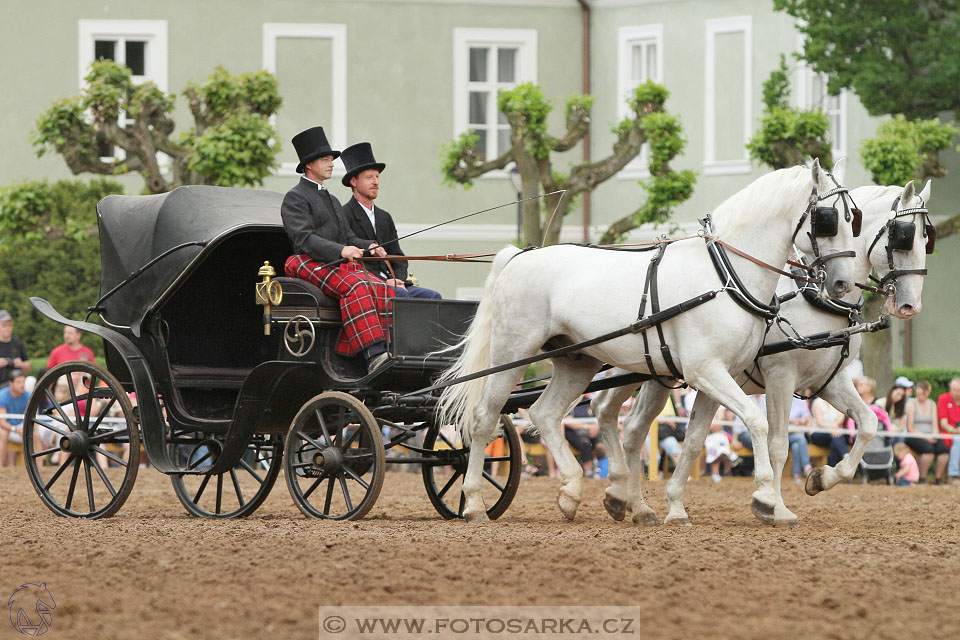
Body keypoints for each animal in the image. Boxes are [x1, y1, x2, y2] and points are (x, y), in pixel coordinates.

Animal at [438, 159, 860, 520]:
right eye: (827, 217)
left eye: (853, 219)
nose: (843, 283)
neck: (724, 275)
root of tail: (519, 255)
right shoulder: (712, 371)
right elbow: (759, 424)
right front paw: (766, 498)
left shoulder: (718, 377)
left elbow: (696, 438)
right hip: (513, 353)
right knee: (485, 418)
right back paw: (474, 503)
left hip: (578, 361)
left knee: (545, 413)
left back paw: (573, 492)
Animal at [592, 176, 928, 524]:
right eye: (905, 237)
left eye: (926, 238)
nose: (910, 305)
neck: (815, 297)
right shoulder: (781, 376)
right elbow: (778, 443)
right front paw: (774, 506)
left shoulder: (828, 380)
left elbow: (868, 423)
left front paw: (821, 478)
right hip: (627, 365)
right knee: (604, 409)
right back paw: (619, 493)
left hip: (658, 373)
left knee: (630, 425)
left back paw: (633, 503)